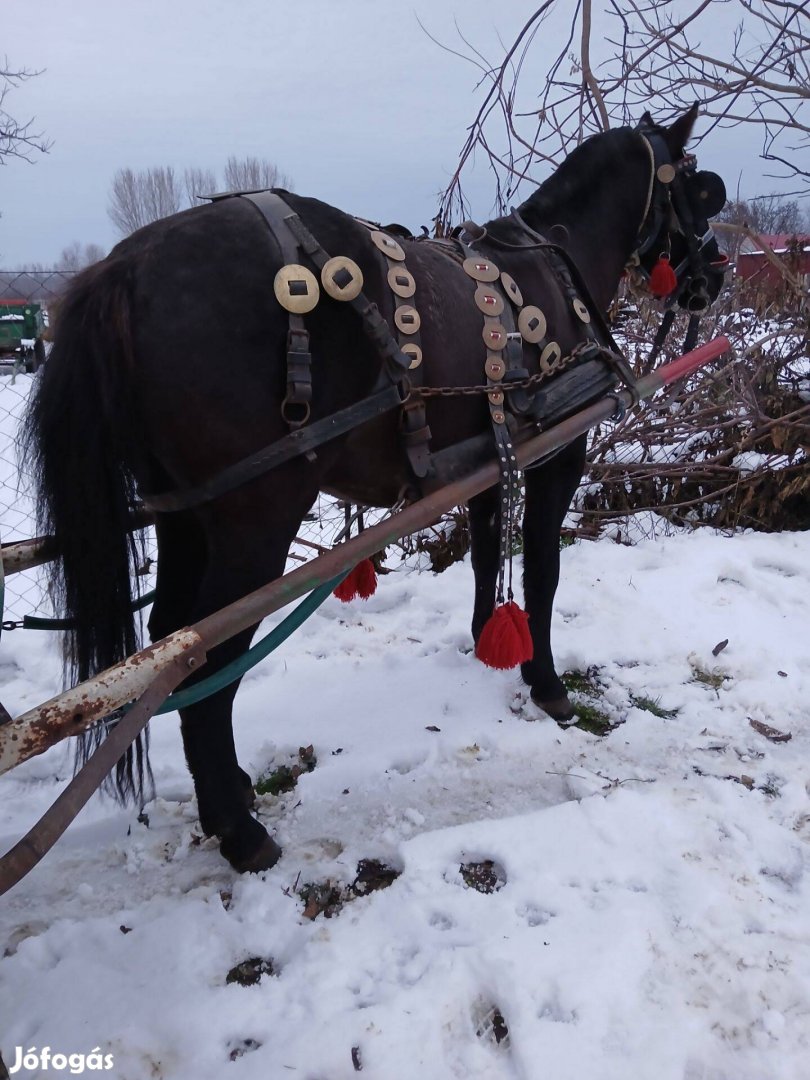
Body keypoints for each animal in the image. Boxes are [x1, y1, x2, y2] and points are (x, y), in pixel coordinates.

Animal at [22, 107, 725, 868]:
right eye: (700, 188)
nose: (714, 276)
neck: (553, 262)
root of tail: (126, 266)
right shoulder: (556, 455)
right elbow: (542, 571)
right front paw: (547, 683)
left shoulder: (490, 460)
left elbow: (486, 558)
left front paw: (487, 643)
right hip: (255, 520)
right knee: (210, 655)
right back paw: (239, 831)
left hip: (184, 515)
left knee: (172, 644)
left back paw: (230, 785)